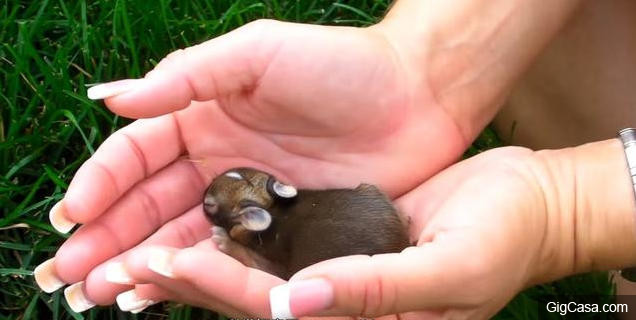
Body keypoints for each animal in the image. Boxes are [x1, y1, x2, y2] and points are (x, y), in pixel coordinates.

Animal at [205, 168, 412, 280]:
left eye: (208, 205)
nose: (206, 187)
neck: (271, 207)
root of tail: (402, 242)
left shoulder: (276, 265)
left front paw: (223, 240)